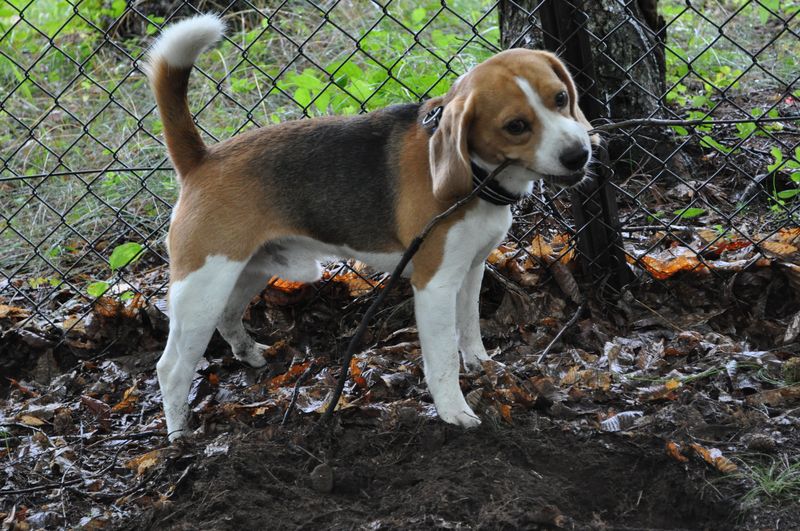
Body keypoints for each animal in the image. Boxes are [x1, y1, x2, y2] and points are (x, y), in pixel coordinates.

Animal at [145, 13, 592, 440]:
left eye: (560, 98)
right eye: (516, 126)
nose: (579, 154)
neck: (476, 178)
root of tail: (202, 159)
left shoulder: (471, 268)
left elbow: (469, 328)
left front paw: (480, 364)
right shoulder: (435, 284)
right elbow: (443, 357)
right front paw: (454, 411)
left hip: (248, 269)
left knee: (228, 316)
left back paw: (250, 355)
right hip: (202, 285)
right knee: (171, 368)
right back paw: (179, 435)